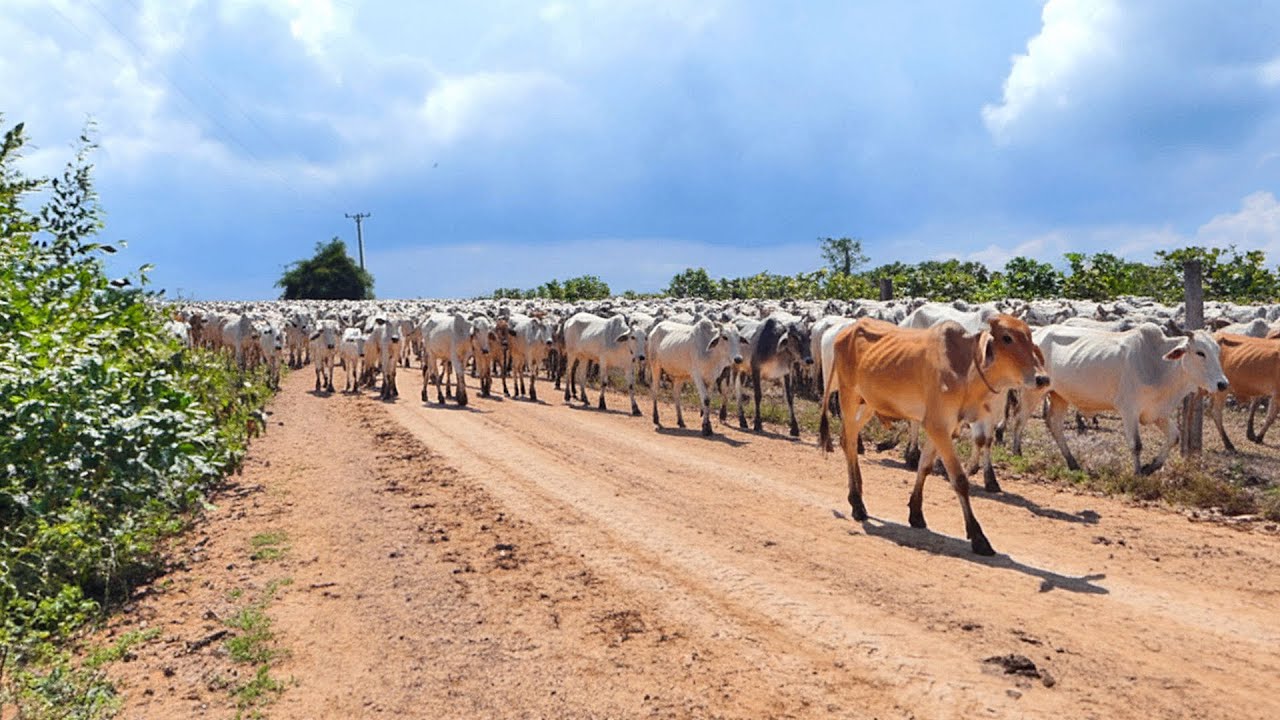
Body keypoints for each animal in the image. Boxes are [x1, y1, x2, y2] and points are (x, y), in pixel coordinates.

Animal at [818, 314, 1049, 556]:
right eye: (1007, 337)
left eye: (1029, 336)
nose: (1042, 379)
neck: (965, 368)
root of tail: (846, 330)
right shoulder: (938, 426)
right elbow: (959, 479)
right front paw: (978, 537)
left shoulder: (940, 428)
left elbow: (925, 467)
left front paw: (916, 513)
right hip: (848, 396)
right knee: (848, 441)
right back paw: (857, 504)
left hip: (869, 403)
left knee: (849, 437)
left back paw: (858, 496)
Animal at [1012, 324, 1228, 475]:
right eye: (1200, 352)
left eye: (1217, 352)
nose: (1222, 384)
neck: (1159, 365)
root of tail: (1036, 334)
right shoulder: (1129, 410)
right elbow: (1136, 444)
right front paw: (1137, 474)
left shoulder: (1157, 413)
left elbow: (1174, 437)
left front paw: (1151, 467)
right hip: (1033, 391)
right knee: (1019, 419)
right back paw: (1016, 453)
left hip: (1059, 396)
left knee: (1054, 424)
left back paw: (1072, 463)